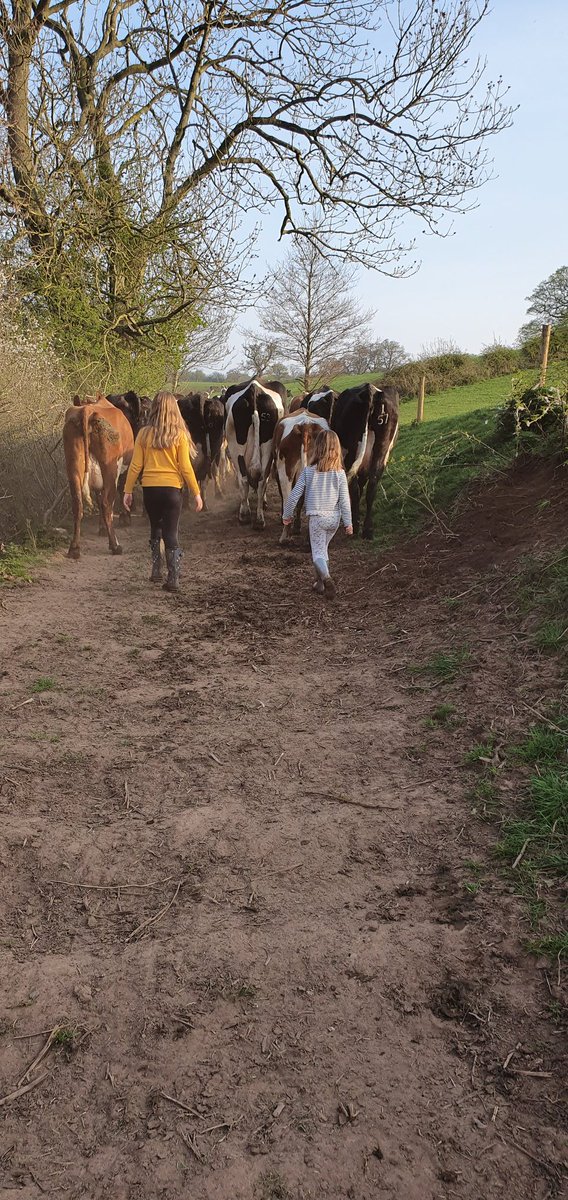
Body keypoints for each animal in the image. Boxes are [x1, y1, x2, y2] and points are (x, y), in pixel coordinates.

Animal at [62, 393, 133, 561]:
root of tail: (87, 410)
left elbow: (99, 498)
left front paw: (101, 529)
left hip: (73, 466)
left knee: (77, 504)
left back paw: (74, 549)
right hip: (110, 468)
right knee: (107, 503)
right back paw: (115, 546)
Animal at [220, 374, 283, 525]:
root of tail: (254, 389)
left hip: (237, 446)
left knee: (247, 479)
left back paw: (249, 515)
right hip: (265, 448)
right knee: (259, 480)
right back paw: (254, 517)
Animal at [326, 384, 398, 540]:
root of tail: (370, 390)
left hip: (351, 454)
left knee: (355, 487)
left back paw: (356, 527)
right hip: (381, 450)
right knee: (371, 484)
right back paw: (367, 530)